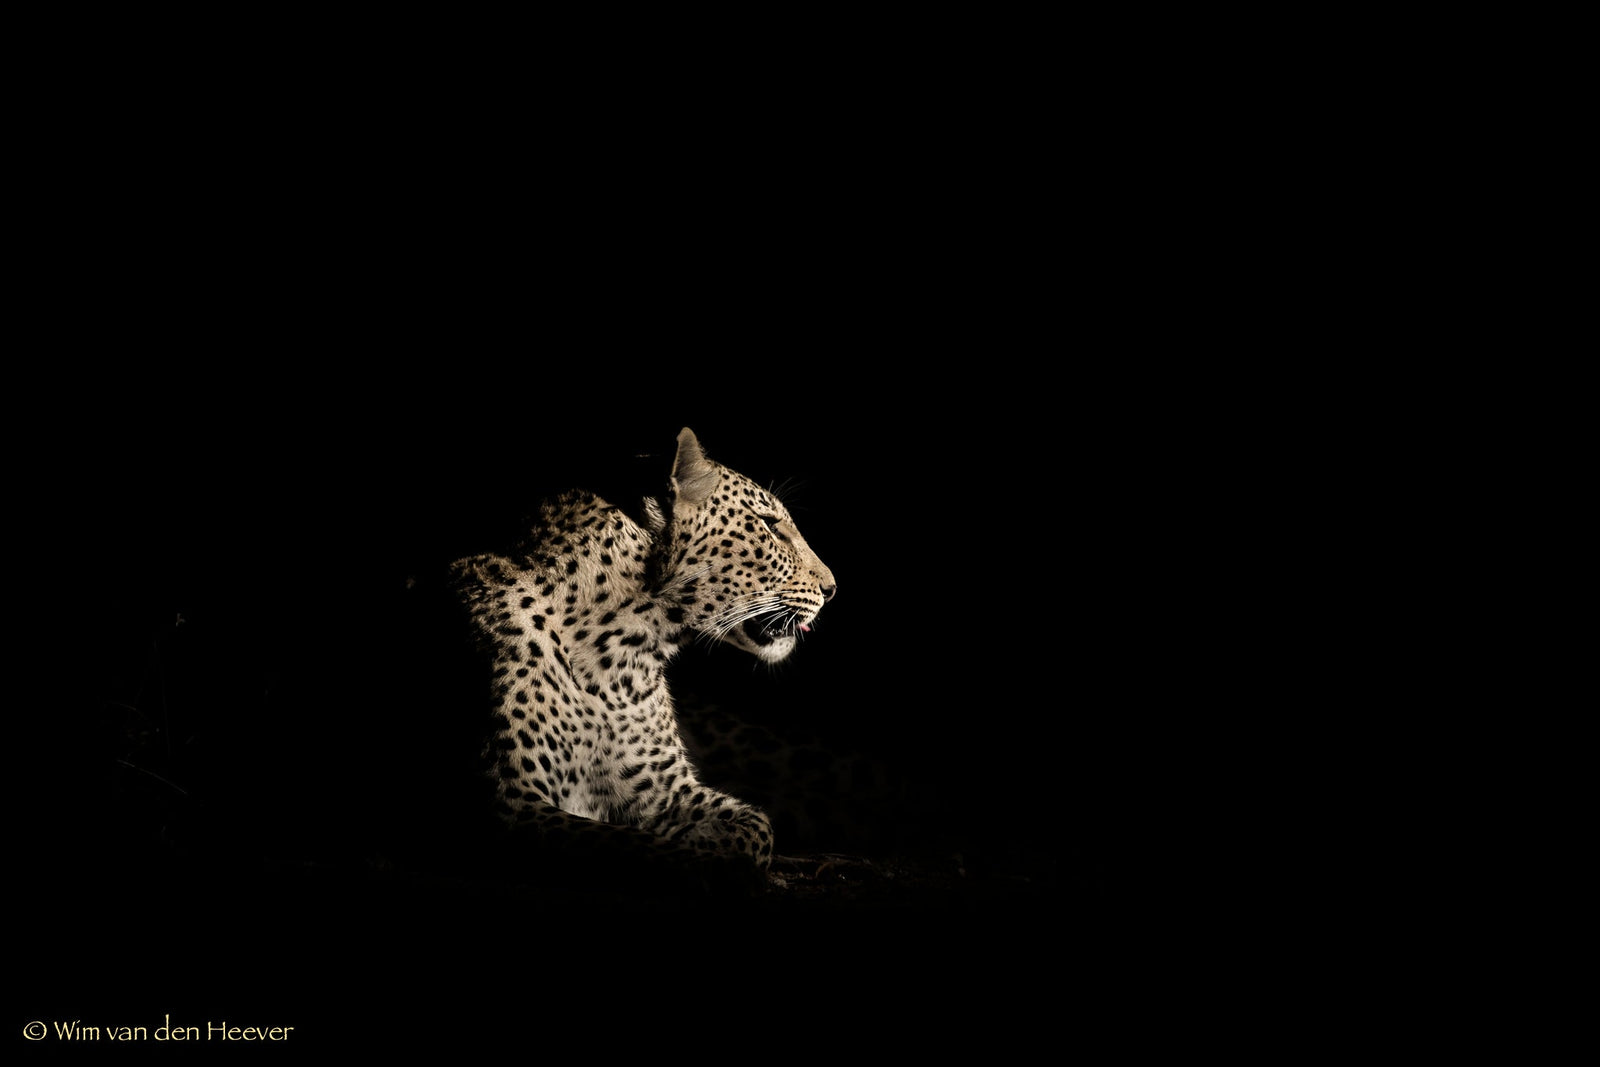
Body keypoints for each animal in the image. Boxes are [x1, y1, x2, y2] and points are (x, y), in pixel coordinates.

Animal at [446, 427, 837, 888]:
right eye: (770, 526)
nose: (833, 589)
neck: (619, 654)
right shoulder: (510, 804)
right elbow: (624, 843)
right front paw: (705, 860)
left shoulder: (666, 789)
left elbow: (756, 827)